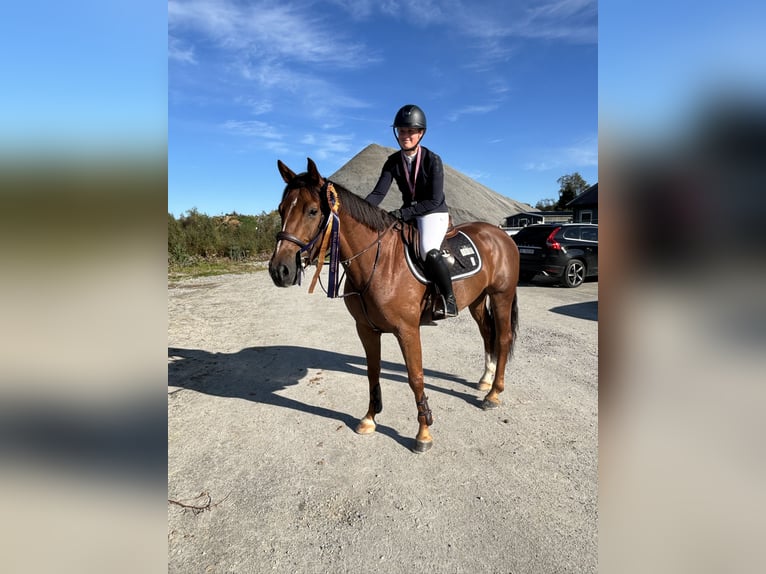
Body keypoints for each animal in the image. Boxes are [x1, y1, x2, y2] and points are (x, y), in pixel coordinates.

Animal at [270, 159, 520, 454]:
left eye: (312, 211)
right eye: (281, 209)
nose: (280, 270)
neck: (379, 262)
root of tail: (501, 235)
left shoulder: (407, 331)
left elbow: (416, 377)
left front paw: (423, 433)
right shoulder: (366, 329)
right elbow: (372, 371)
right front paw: (369, 418)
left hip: (502, 295)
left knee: (502, 338)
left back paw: (494, 393)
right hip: (478, 300)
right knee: (487, 333)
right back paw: (485, 380)